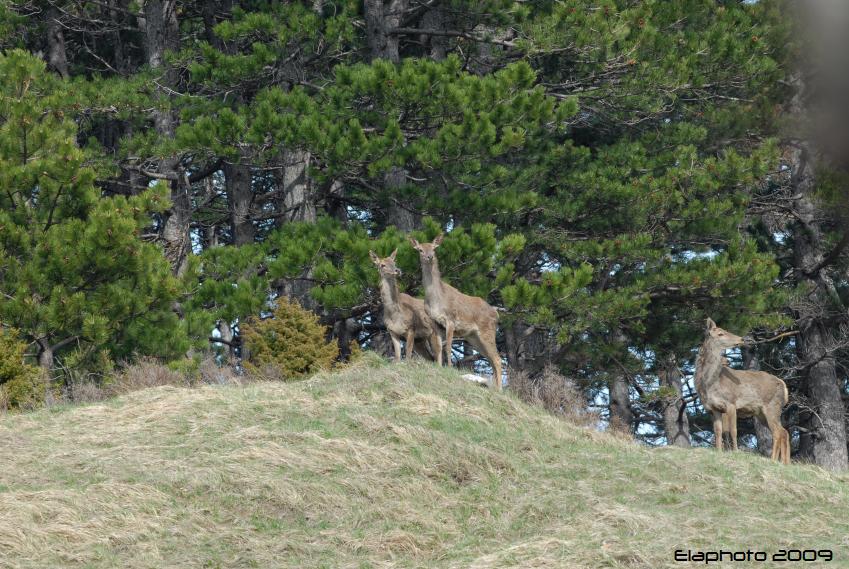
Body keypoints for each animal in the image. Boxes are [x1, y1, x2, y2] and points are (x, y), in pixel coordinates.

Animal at [408, 233, 500, 388]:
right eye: (420, 249)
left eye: (434, 248)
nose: (429, 257)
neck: (436, 299)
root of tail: (496, 314)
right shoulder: (434, 322)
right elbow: (438, 347)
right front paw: (439, 367)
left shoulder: (450, 319)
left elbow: (448, 346)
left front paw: (450, 367)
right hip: (473, 337)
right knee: (492, 359)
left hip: (487, 331)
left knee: (497, 359)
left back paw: (499, 390)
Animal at [696, 318, 788, 464]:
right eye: (721, 333)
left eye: (725, 330)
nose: (741, 338)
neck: (710, 384)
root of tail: (783, 385)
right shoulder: (714, 408)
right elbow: (718, 431)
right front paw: (719, 451)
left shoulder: (731, 403)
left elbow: (733, 430)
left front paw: (735, 451)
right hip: (762, 413)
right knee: (783, 431)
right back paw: (783, 463)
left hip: (772, 406)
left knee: (778, 433)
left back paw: (773, 460)